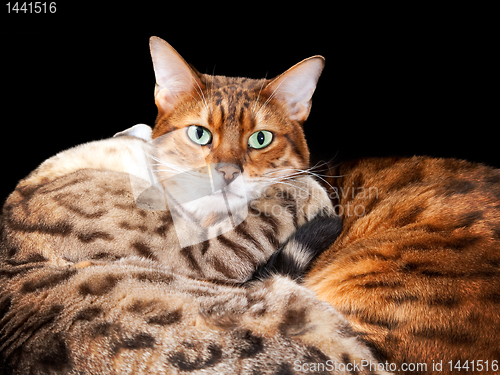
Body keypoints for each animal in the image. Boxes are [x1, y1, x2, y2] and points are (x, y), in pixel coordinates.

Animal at [0, 38, 388, 375]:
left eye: (260, 139)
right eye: (200, 135)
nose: (228, 172)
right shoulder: (201, 252)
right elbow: (285, 198)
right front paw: (308, 186)